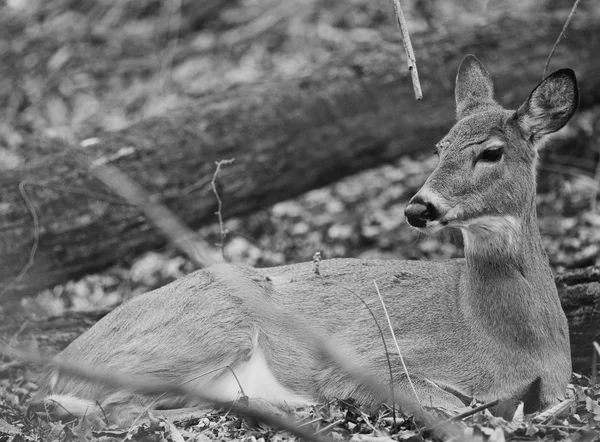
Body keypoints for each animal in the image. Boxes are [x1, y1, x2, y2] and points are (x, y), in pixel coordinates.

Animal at [31, 55, 576, 428]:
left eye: (491, 152)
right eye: (439, 147)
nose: (418, 208)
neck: (507, 340)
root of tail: (57, 367)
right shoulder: (374, 359)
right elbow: (451, 405)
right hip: (208, 327)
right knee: (117, 410)